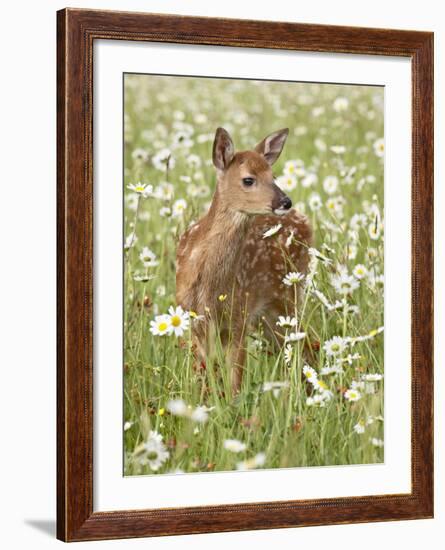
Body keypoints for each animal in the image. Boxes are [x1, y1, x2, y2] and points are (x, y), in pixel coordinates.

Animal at [175, 128, 310, 396]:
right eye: (248, 179)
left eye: (273, 175)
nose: (285, 202)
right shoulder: (193, 320)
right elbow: (202, 375)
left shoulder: (238, 317)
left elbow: (235, 381)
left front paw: (231, 404)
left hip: (287, 298)